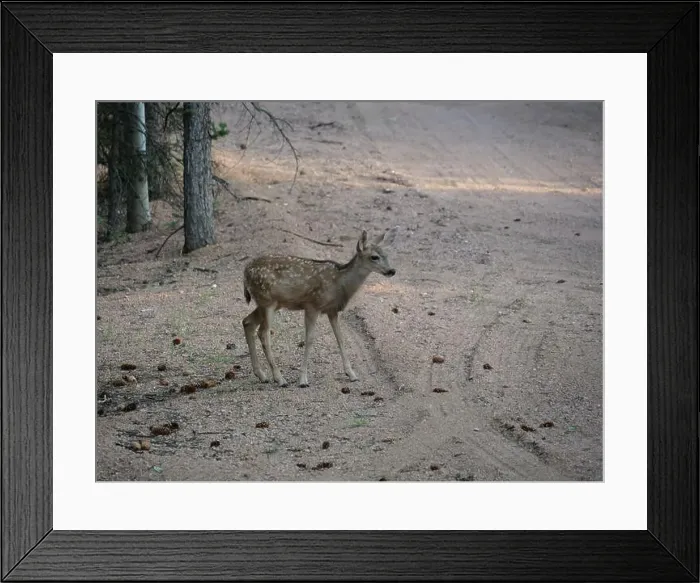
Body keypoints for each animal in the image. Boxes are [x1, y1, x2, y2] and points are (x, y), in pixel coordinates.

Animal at [242, 227, 398, 388]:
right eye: (374, 257)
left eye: (387, 255)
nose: (391, 270)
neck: (340, 283)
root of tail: (245, 271)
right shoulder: (312, 305)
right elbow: (310, 339)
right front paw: (303, 380)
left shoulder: (332, 310)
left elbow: (340, 338)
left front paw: (351, 374)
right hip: (268, 301)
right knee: (263, 333)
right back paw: (280, 378)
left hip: (268, 303)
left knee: (247, 322)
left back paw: (262, 375)